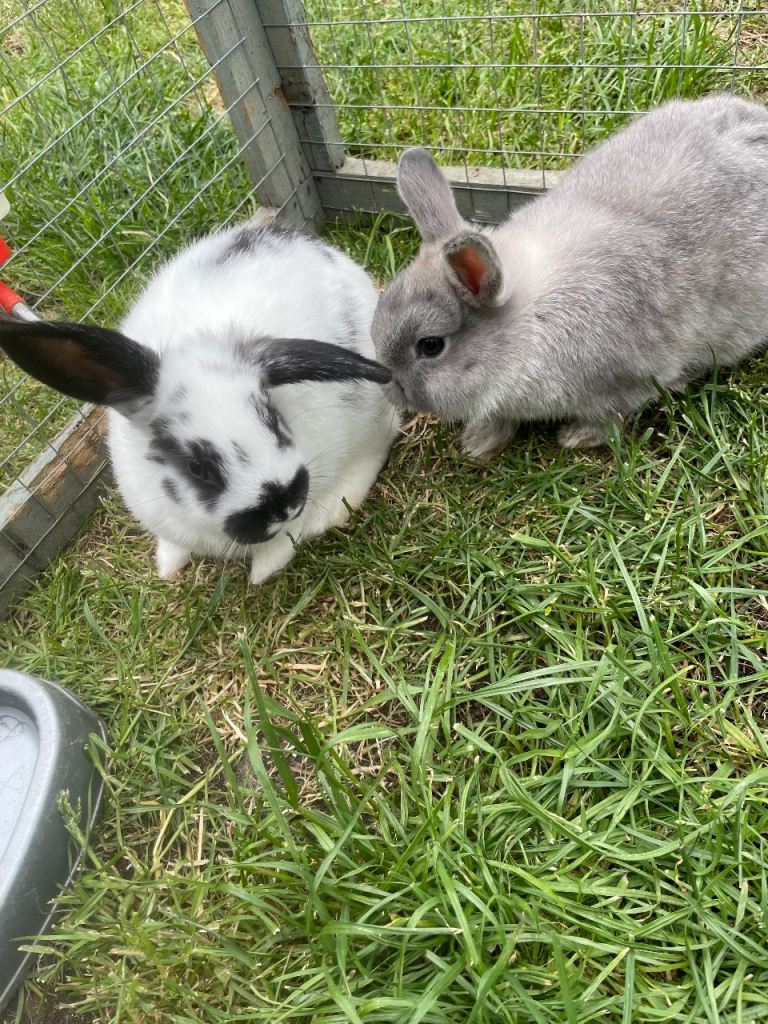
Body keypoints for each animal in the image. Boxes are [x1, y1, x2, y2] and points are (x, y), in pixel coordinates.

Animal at [0, 222, 400, 584]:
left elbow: (280, 545)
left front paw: (262, 574)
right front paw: (168, 566)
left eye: (274, 421)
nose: (285, 503)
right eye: (197, 468)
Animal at [371, 93, 768, 457]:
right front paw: (480, 443)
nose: (388, 389)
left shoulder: (632, 379)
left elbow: (612, 414)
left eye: (431, 346)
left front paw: (576, 437)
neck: (528, 325)